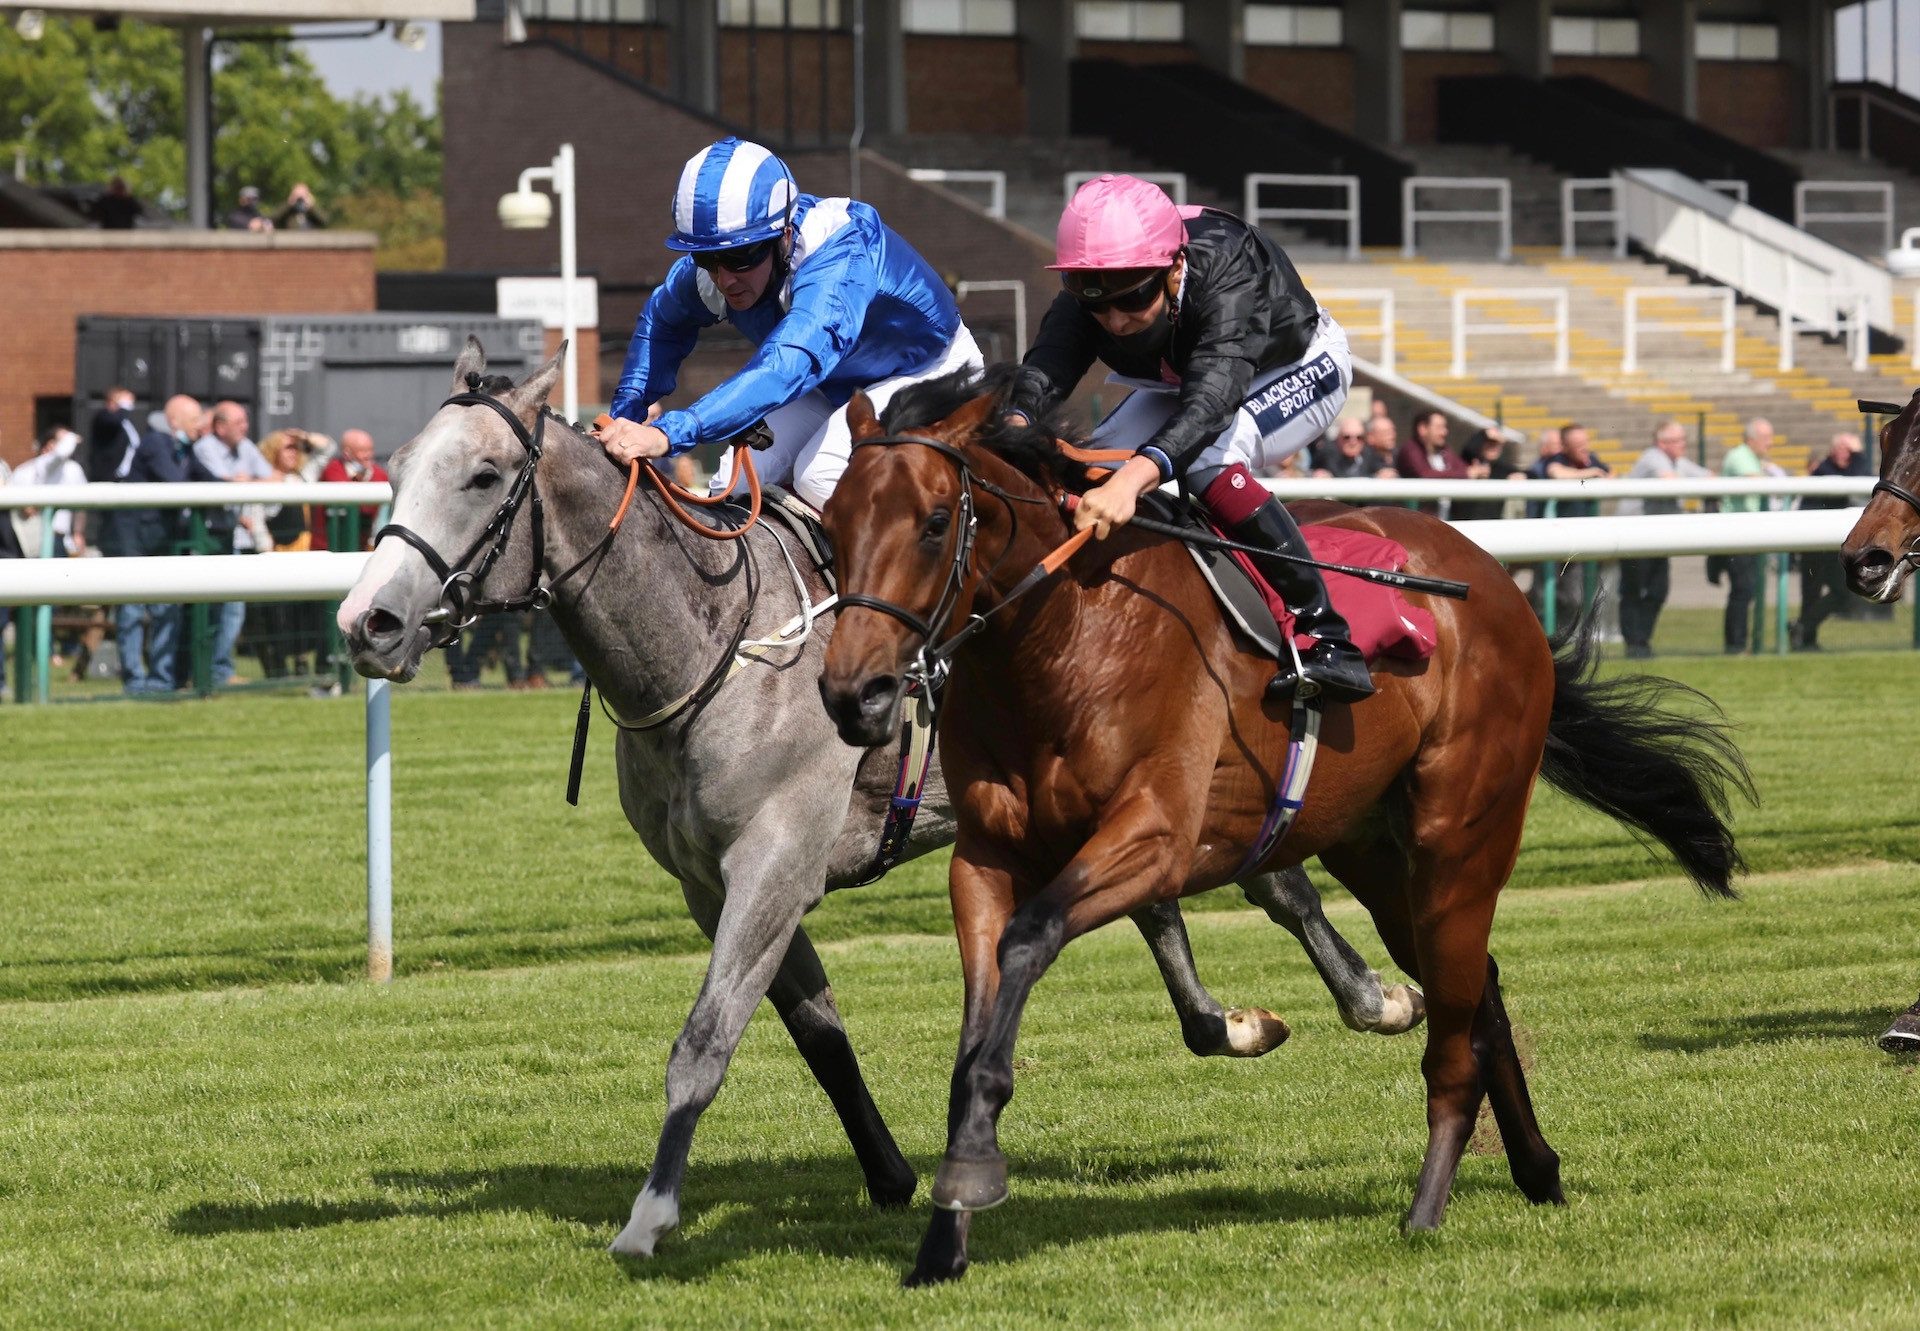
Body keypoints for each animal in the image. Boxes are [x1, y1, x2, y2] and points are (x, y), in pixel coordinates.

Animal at [334, 341, 1428, 1259]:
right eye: (393, 468)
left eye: (482, 477)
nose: (367, 621)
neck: (714, 641)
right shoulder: (713, 881)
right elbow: (815, 1030)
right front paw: (893, 1170)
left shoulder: (774, 858)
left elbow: (705, 1038)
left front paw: (650, 1215)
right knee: (1167, 903)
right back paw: (1240, 1018)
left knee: (1272, 883)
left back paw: (1375, 996)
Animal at [817, 366, 1751, 1290]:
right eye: (831, 525)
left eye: (935, 522)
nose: (853, 693)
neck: (1067, 638)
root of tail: (1491, 577)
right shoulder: (983, 857)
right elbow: (977, 1024)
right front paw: (945, 1233)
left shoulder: (1153, 838)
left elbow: (1029, 939)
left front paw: (972, 1175)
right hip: (1378, 853)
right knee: (1476, 991)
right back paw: (1538, 1168)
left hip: (1461, 836)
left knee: (1455, 1029)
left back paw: (1426, 1208)